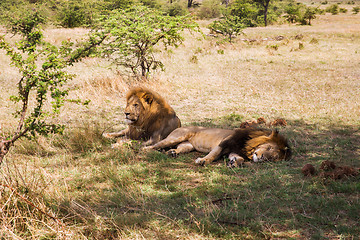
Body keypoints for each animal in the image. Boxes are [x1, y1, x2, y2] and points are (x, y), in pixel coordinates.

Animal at [143, 125, 290, 167]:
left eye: (271, 158)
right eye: (269, 147)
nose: (261, 158)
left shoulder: (234, 151)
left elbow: (239, 158)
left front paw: (233, 163)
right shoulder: (224, 143)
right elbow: (213, 155)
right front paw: (202, 161)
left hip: (188, 146)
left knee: (179, 148)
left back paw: (173, 153)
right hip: (177, 137)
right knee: (156, 145)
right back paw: (145, 150)